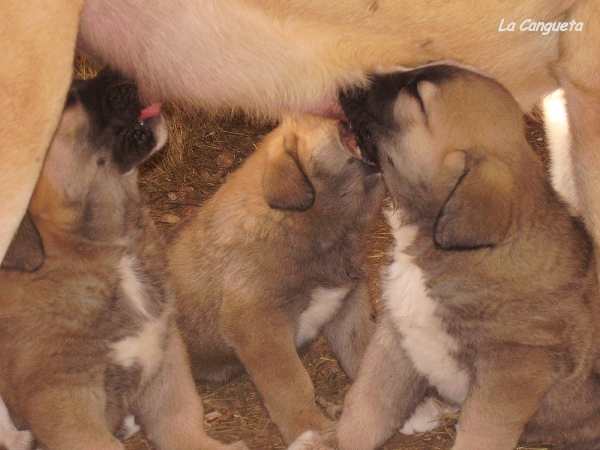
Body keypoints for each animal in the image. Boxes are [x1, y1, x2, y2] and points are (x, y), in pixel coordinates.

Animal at [169, 114, 384, 444]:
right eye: (341, 122)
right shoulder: (259, 325)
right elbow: (292, 385)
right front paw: (311, 430)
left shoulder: (349, 303)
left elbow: (360, 350)